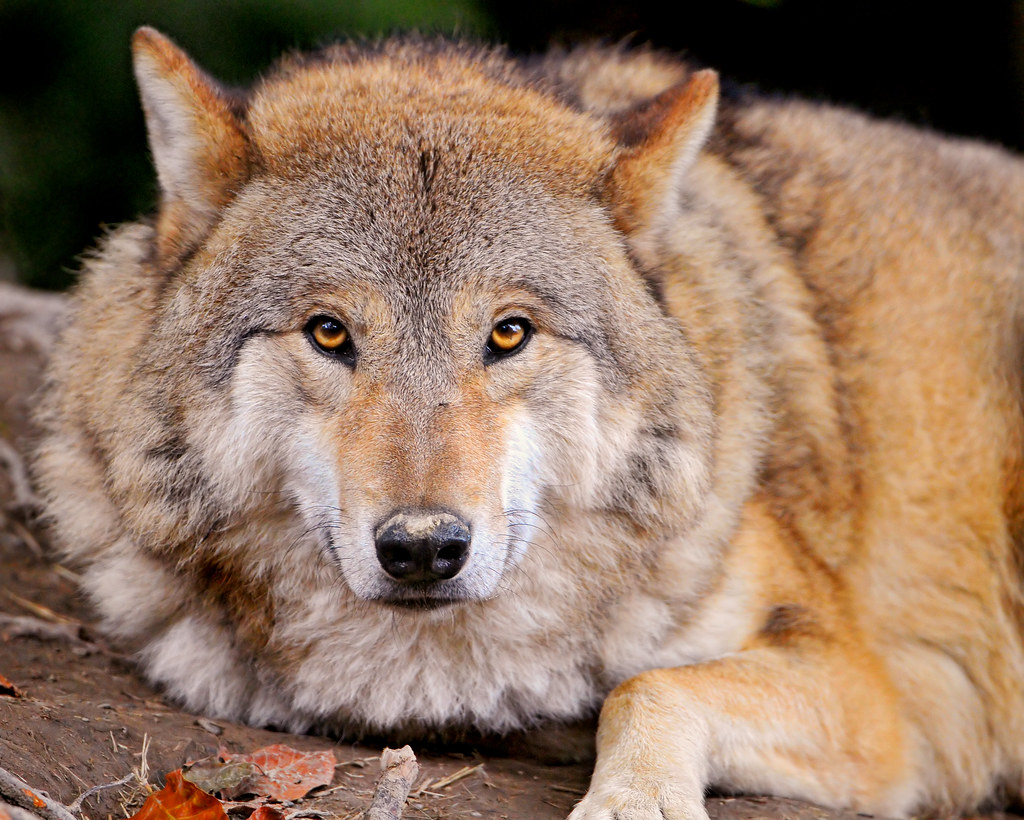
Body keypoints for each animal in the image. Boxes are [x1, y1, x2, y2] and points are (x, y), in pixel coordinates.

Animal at [32, 25, 1024, 818]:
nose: (423, 548)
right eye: (330, 332)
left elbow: (647, 688)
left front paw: (633, 801)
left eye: (508, 333)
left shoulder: (869, 698)